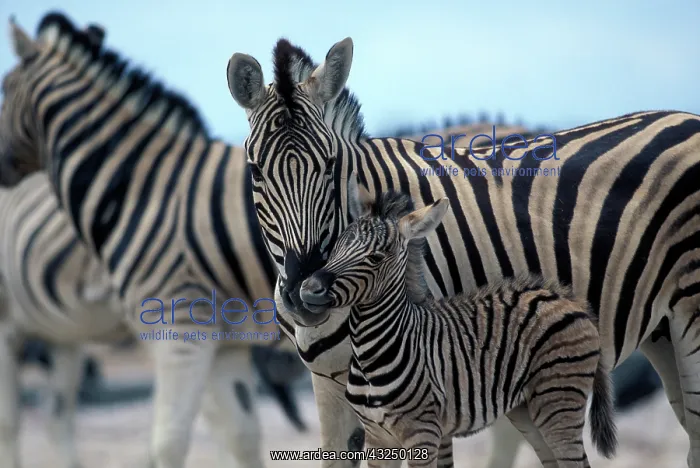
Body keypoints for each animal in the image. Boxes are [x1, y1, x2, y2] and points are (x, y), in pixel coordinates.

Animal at [0, 13, 308, 468]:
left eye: (4, 88)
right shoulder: (194, 338)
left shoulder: (194, 335)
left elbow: (205, 439)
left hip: (54, 332)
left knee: (50, 419)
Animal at [299, 183, 617, 468]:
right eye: (336, 247)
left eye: (375, 258)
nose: (308, 289)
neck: (371, 354)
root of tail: (573, 303)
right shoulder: (378, 438)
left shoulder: (422, 434)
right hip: (528, 410)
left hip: (557, 402)